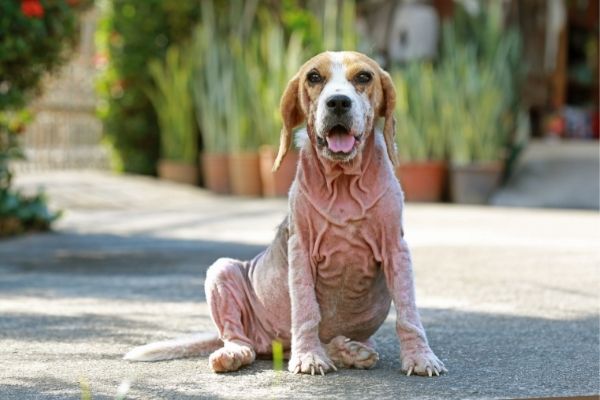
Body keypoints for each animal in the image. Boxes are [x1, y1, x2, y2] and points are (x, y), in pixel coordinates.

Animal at [125, 50, 446, 378]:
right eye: (314, 77)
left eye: (363, 77)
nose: (338, 102)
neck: (343, 183)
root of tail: (269, 343)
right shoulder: (300, 250)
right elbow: (306, 310)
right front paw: (309, 357)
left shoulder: (396, 249)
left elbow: (408, 313)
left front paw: (420, 356)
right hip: (222, 271)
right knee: (239, 338)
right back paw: (239, 353)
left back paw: (349, 351)